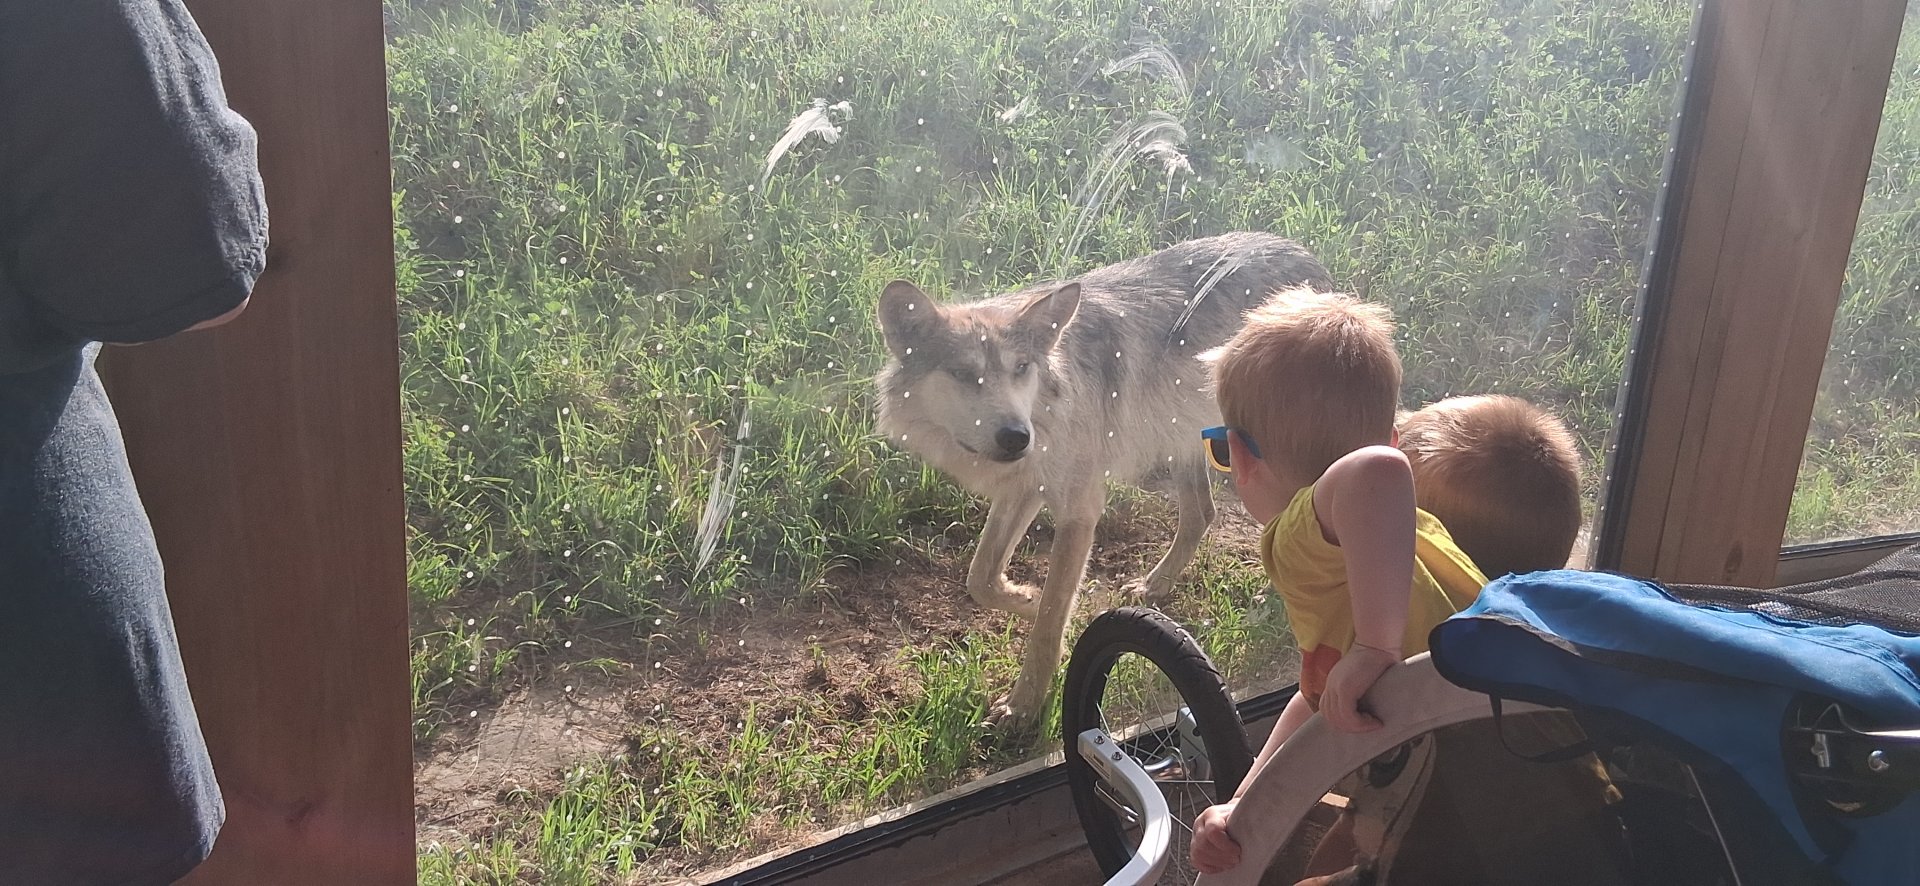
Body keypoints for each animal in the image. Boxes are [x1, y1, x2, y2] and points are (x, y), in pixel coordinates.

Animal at [874, 232, 1334, 733]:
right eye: (962, 373)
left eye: (1021, 368)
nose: (1017, 437)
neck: (1052, 408)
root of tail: (1306, 257)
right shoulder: (1024, 488)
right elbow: (981, 577)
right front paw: (1027, 598)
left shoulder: (1079, 510)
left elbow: (1050, 619)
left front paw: (1024, 706)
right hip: (1182, 440)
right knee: (1201, 513)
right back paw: (1155, 586)